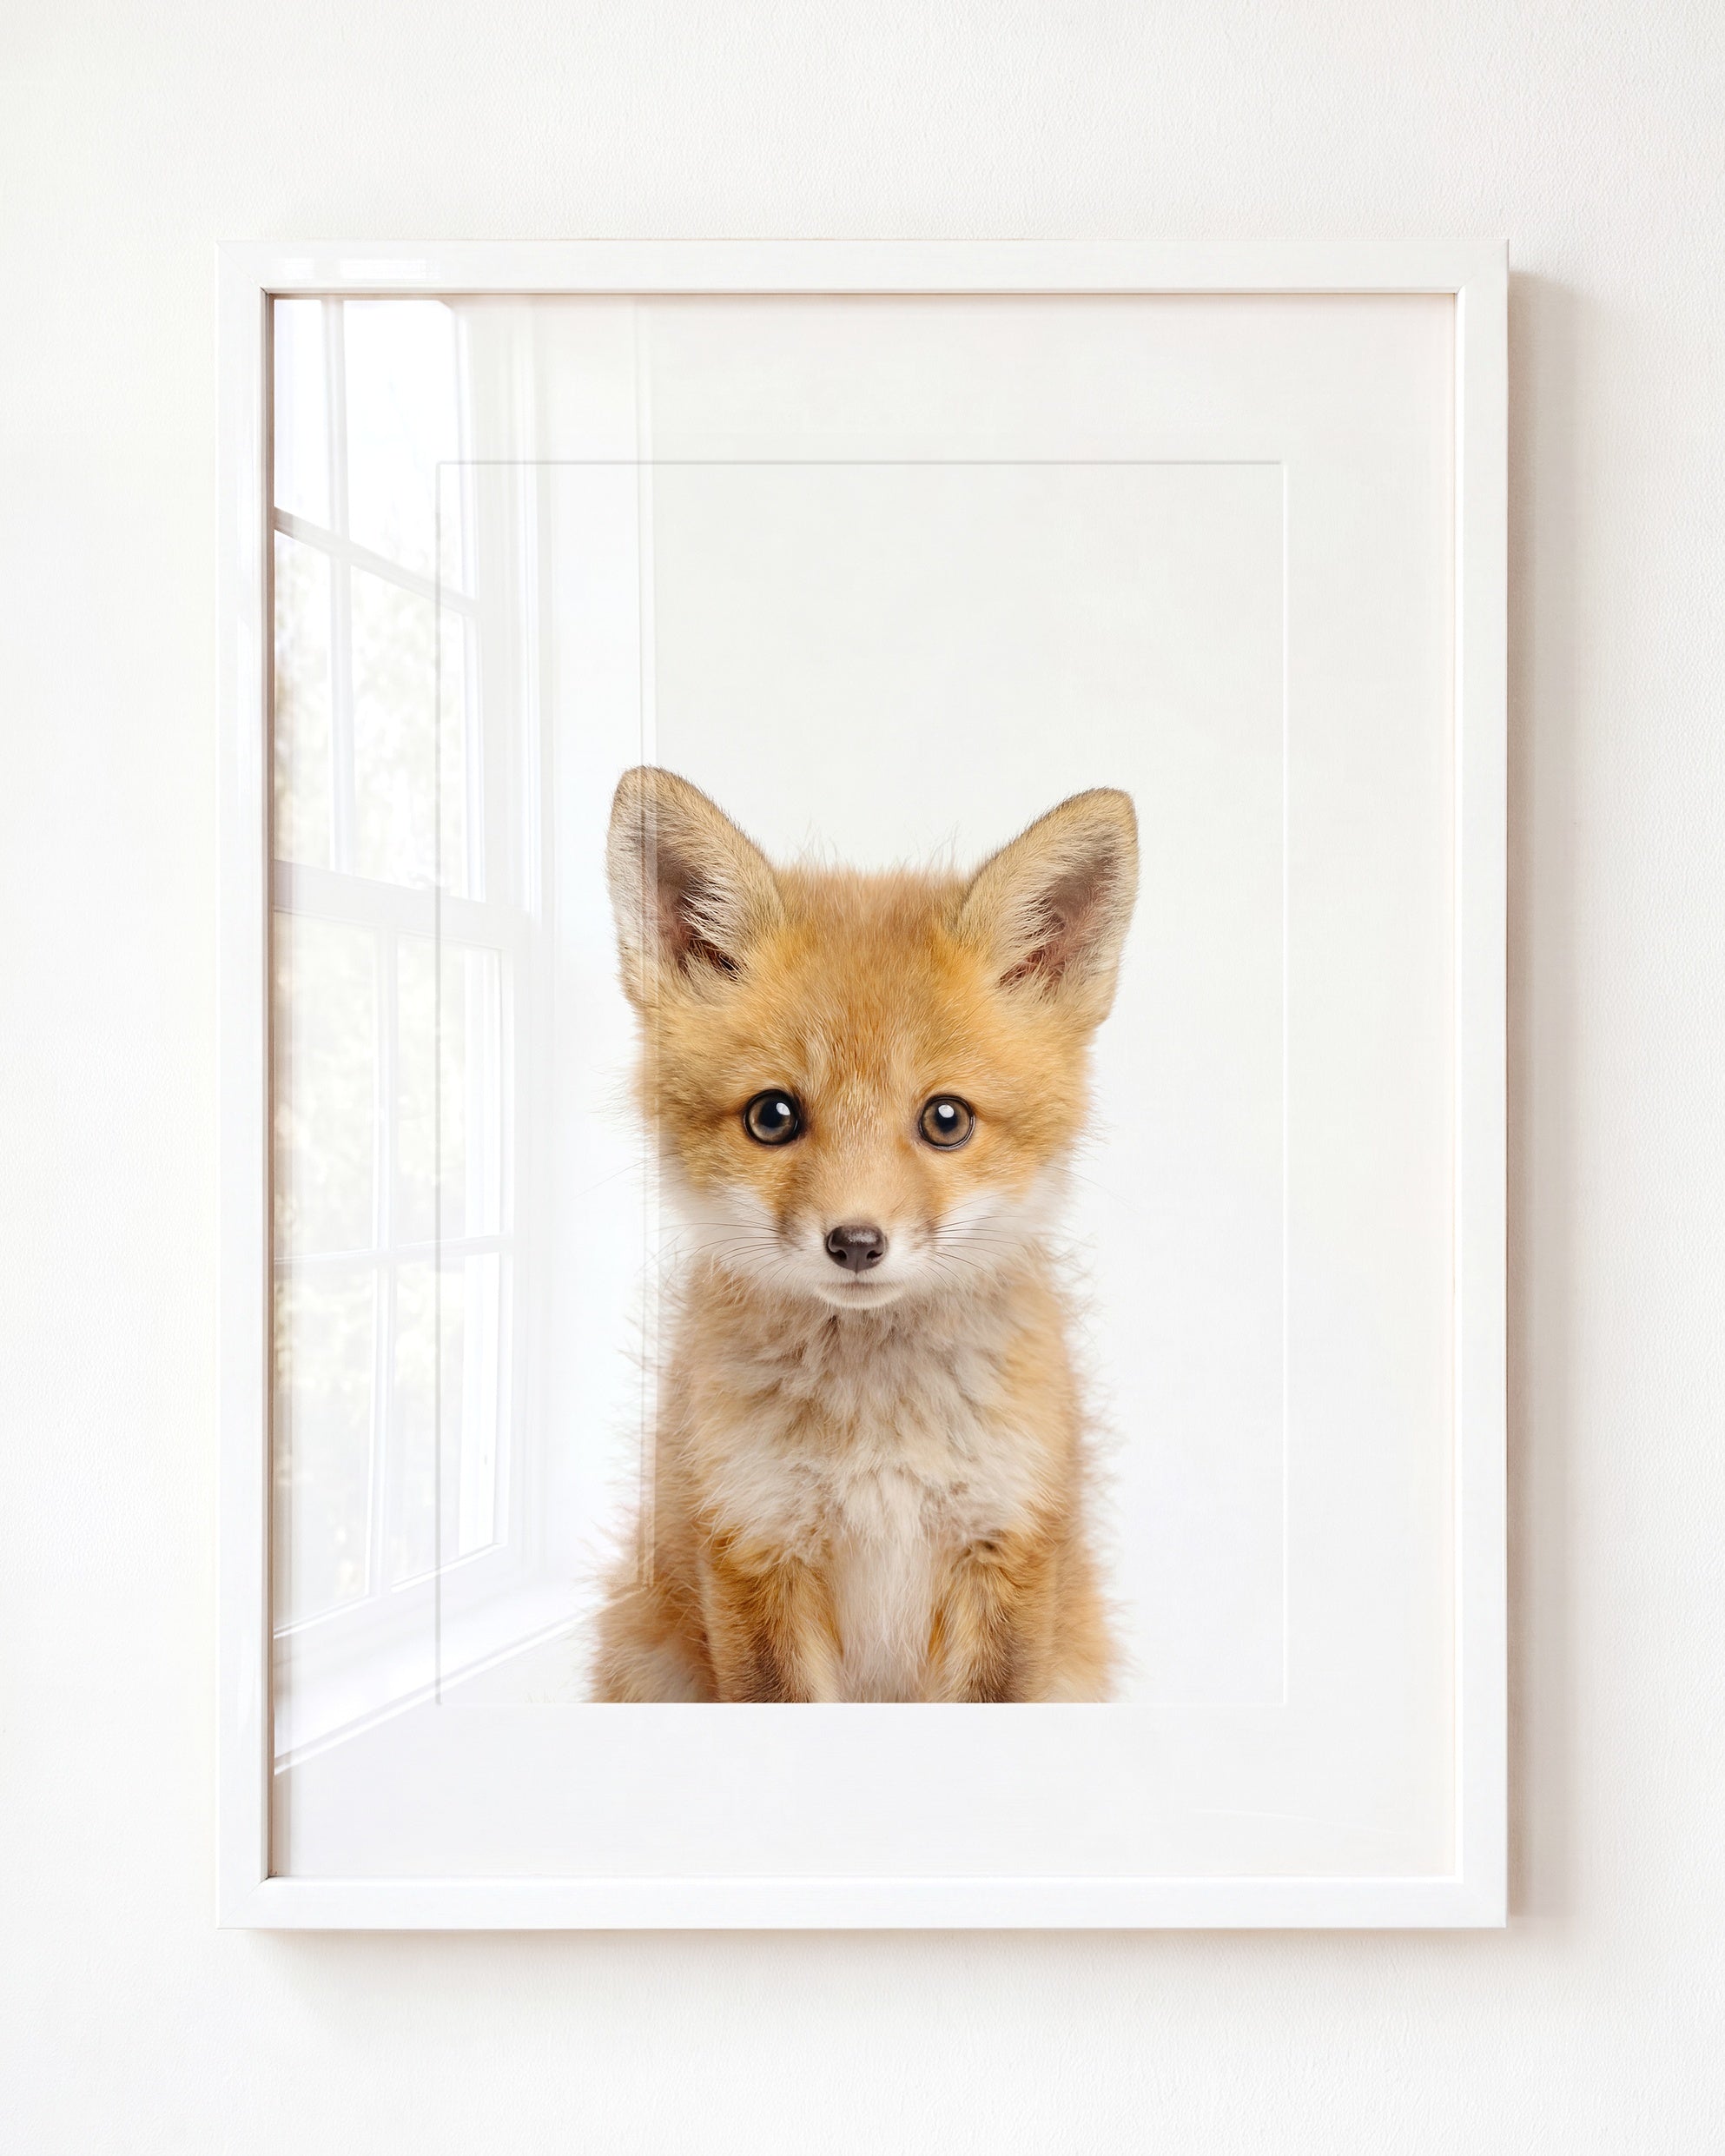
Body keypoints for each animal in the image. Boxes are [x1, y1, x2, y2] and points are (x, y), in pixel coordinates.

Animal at [589, 766, 1139, 1703]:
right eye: (773, 1116)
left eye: (946, 1120)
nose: (854, 1242)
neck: (877, 1440)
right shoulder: (754, 1545)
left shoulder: (1006, 1546)